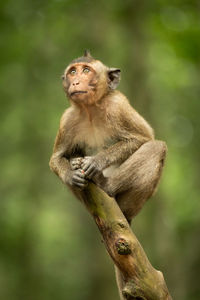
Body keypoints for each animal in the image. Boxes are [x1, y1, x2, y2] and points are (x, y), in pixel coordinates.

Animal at [49, 50, 166, 224]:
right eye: (72, 72)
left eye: (86, 70)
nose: (75, 82)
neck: (90, 109)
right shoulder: (67, 120)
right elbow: (57, 158)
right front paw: (71, 174)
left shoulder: (118, 106)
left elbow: (143, 138)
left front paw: (97, 161)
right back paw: (76, 164)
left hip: (126, 205)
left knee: (157, 147)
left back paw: (105, 184)